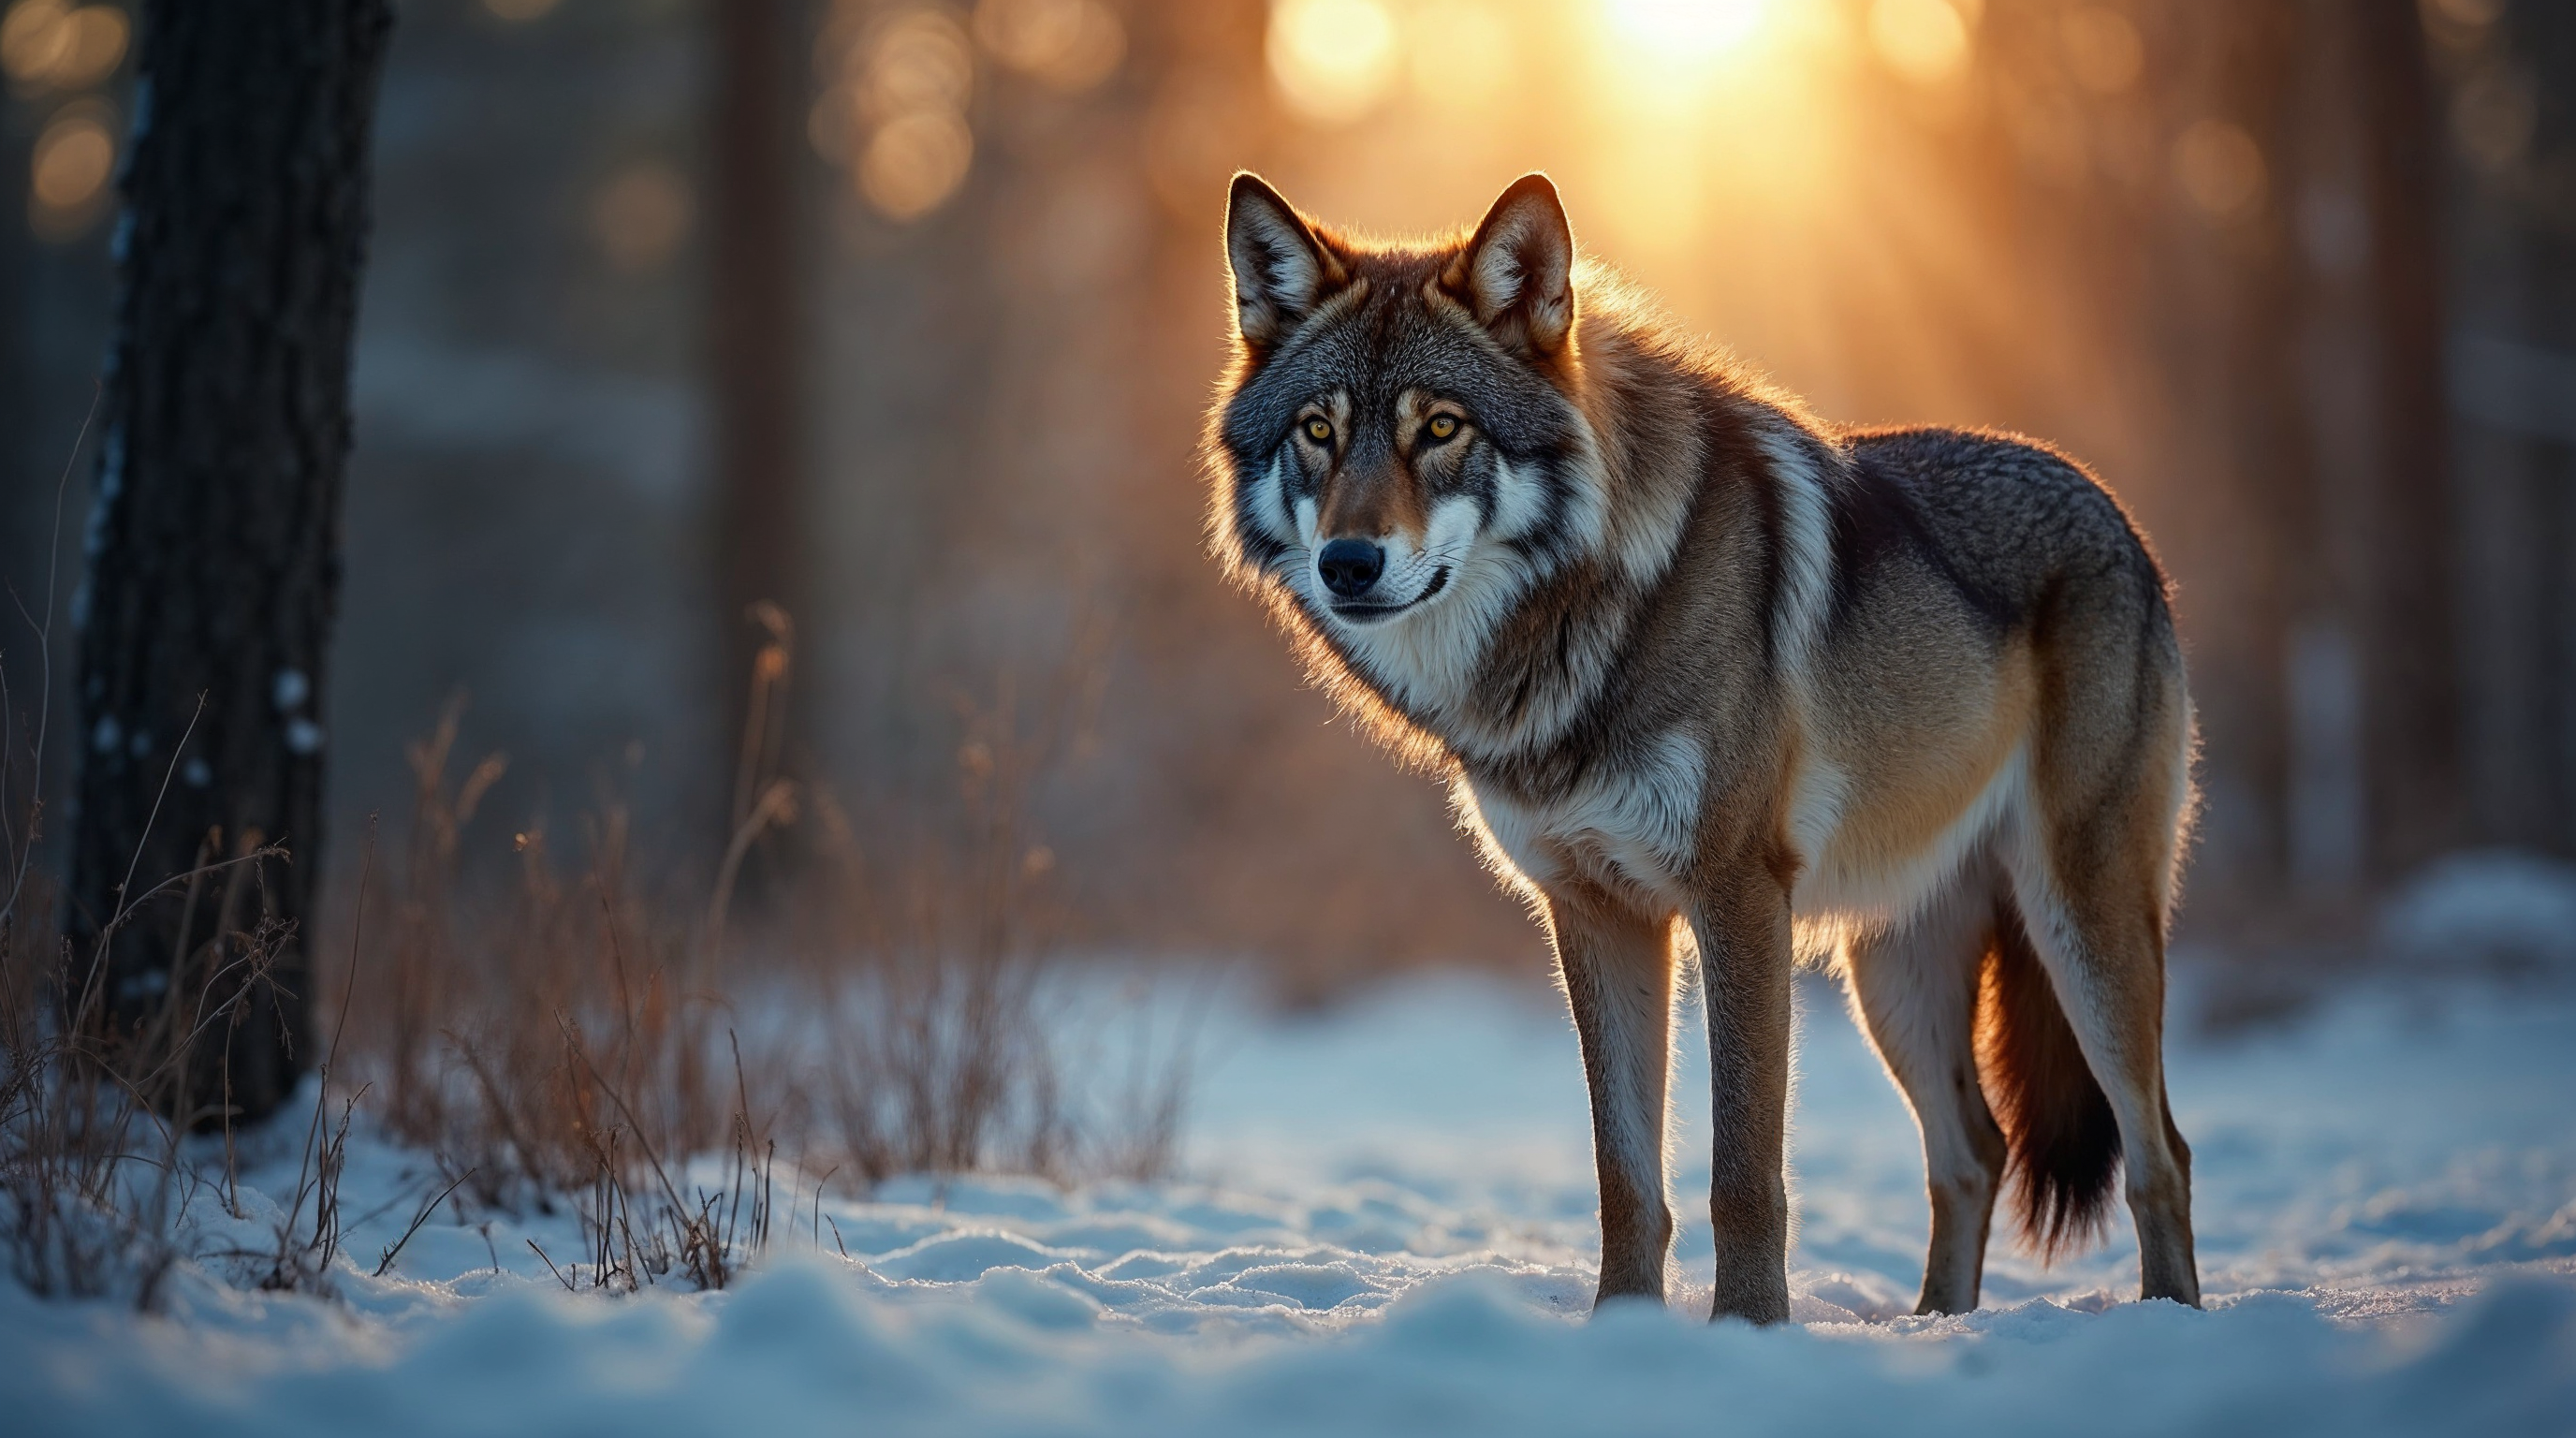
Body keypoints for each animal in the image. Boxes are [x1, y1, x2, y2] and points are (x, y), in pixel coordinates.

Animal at [1202, 173, 2201, 1323]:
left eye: (1441, 427)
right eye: (1318, 431)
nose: (1349, 563)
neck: (1585, 620)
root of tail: (2113, 513)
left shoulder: (1736, 897)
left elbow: (1742, 1174)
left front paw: (1747, 1333)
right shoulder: (1595, 911)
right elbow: (1626, 1177)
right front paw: (1627, 1330)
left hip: (2077, 923)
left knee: (2160, 1154)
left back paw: (2170, 1324)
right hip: (1892, 973)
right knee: (1973, 1153)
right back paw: (1935, 1329)